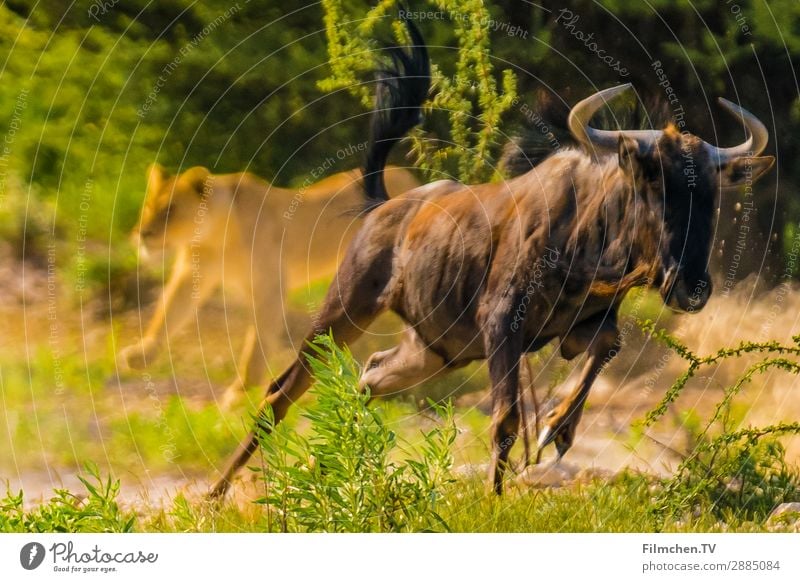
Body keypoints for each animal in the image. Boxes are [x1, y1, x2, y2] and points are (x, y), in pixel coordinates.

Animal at [119, 164, 422, 406]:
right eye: (149, 207)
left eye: (170, 210)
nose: (142, 234)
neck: (212, 240)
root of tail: (407, 175)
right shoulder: (191, 275)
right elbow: (168, 313)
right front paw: (140, 355)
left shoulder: (271, 288)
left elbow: (256, 344)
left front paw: (240, 394)